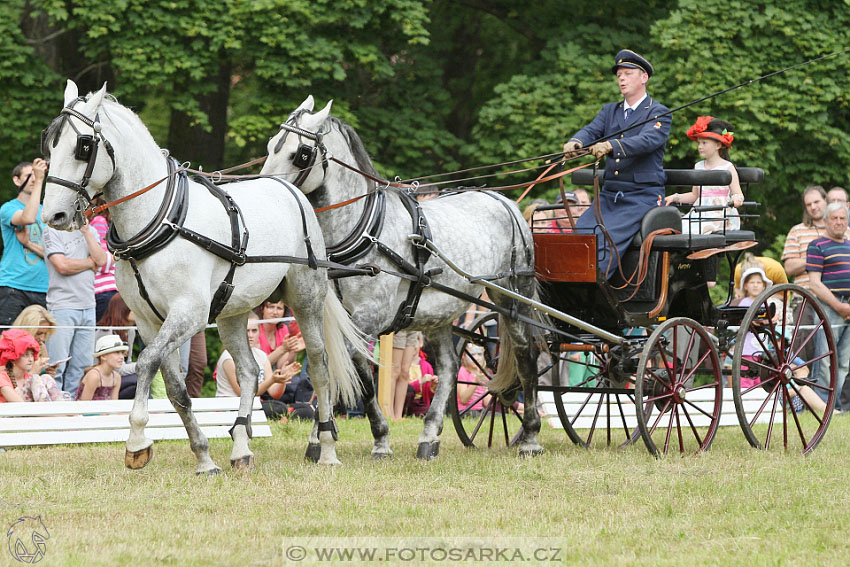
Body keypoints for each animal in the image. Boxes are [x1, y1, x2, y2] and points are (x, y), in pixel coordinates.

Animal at [40, 82, 364, 474]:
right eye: (49, 146)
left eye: (83, 145)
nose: (53, 215)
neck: (161, 218)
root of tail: (292, 191)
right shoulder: (148, 322)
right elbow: (176, 389)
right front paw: (204, 456)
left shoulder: (188, 314)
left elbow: (146, 363)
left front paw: (137, 440)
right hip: (232, 312)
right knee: (248, 371)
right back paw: (240, 446)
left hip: (305, 300)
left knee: (319, 365)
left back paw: (326, 448)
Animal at [260, 96, 544, 458]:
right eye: (271, 145)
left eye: (301, 153)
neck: (365, 230)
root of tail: (502, 200)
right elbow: (342, 369)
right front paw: (349, 438)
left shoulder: (370, 316)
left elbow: (348, 368)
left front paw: (351, 439)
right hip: (439, 313)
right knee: (449, 367)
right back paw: (429, 436)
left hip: (511, 296)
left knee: (526, 354)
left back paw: (531, 436)